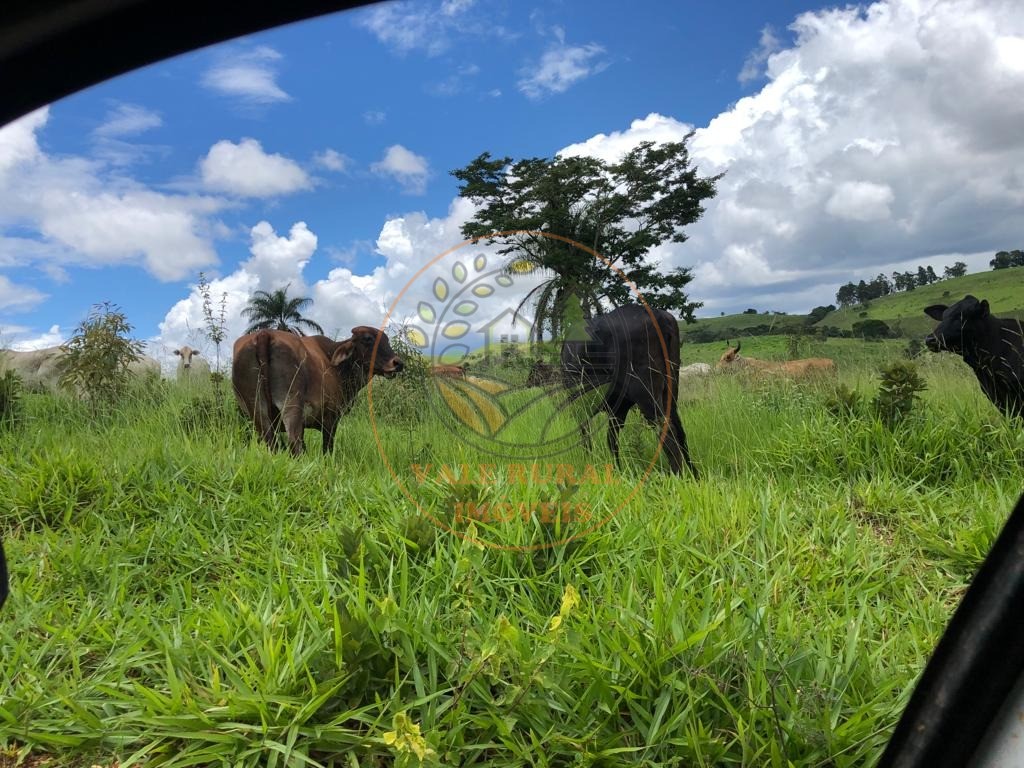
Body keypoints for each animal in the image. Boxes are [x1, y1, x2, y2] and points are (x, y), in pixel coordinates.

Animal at [232, 325, 403, 456]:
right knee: (294, 442)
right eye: (368, 339)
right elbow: (327, 449)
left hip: (255, 409)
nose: (398, 363)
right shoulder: (330, 418)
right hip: (291, 403)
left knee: (271, 442)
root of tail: (265, 334)